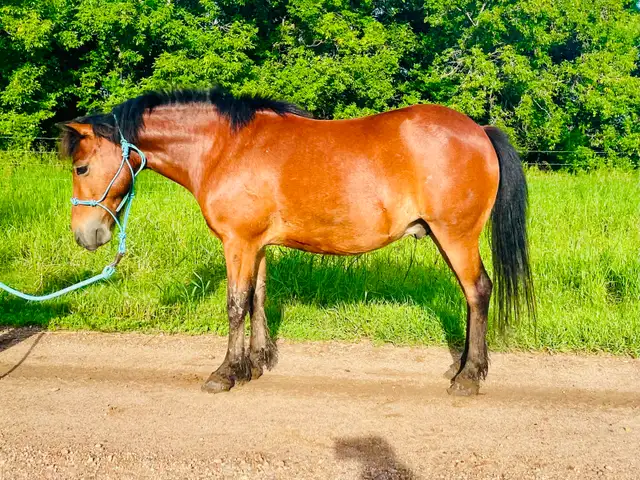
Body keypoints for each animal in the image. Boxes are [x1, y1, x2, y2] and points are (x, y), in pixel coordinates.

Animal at [60, 87, 535, 396]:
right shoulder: (256, 244)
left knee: (478, 291)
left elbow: (235, 304)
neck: (224, 147)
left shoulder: (237, 243)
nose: (86, 235)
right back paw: (466, 365)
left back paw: (469, 376)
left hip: (456, 236)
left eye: (81, 167)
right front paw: (255, 363)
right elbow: (257, 298)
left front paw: (226, 373)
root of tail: (480, 130)